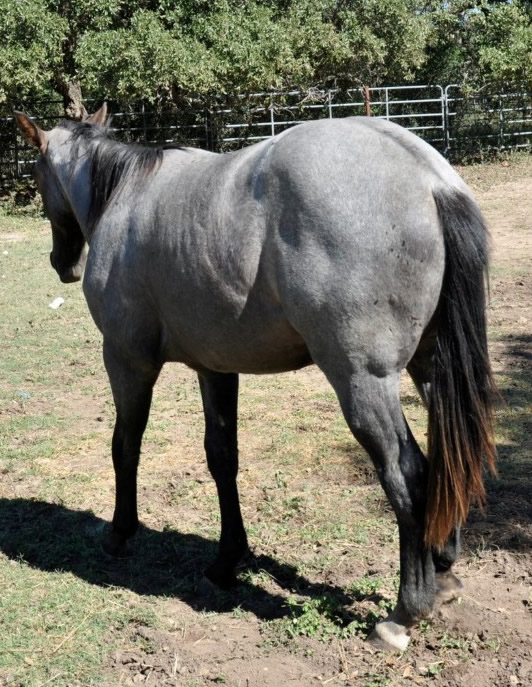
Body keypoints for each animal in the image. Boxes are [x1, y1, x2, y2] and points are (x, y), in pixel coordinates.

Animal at [15, 106, 494, 652]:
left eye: (37, 173)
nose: (62, 264)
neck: (127, 192)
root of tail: (430, 179)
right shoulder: (216, 368)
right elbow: (222, 458)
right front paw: (228, 559)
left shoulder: (127, 360)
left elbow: (125, 446)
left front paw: (120, 532)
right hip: (429, 368)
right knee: (446, 459)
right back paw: (443, 569)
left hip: (363, 383)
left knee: (407, 473)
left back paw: (404, 613)